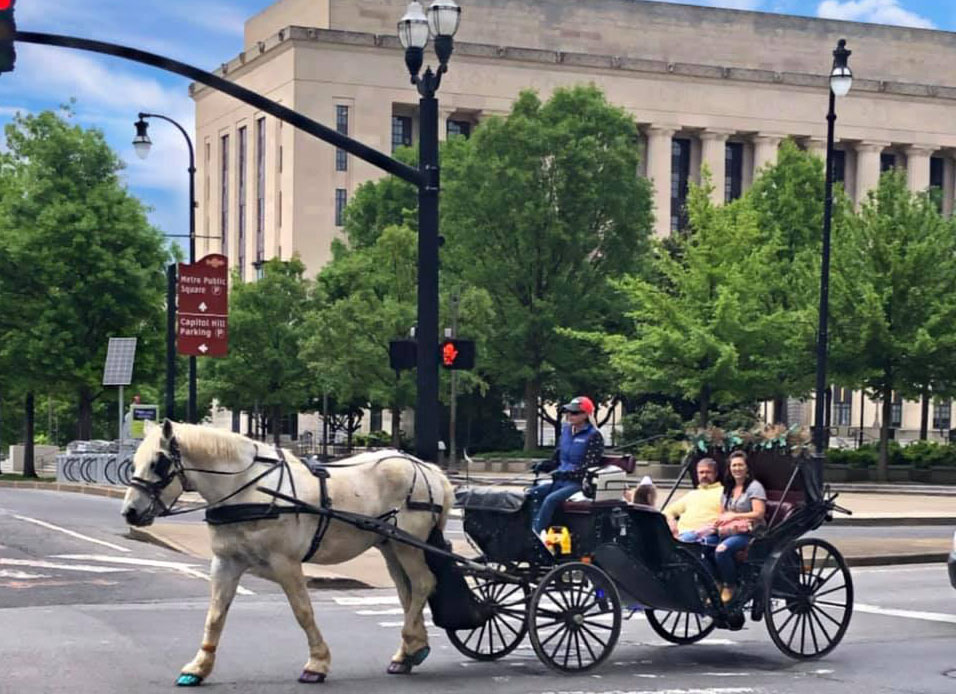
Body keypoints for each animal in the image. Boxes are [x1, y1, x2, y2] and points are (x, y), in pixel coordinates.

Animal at [121, 422, 454, 688]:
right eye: (134, 462)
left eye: (159, 463)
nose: (130, 512)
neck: (250, 488)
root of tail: (428, 469)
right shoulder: (226, 563)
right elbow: (215, 616)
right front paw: (199, 667)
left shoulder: (286, 564)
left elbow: (303, 611)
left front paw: (317, 663)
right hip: (391, 546)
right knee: (406, 592)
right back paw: (409, 651)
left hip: (409, 546)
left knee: (423, 583)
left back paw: (411, 643)